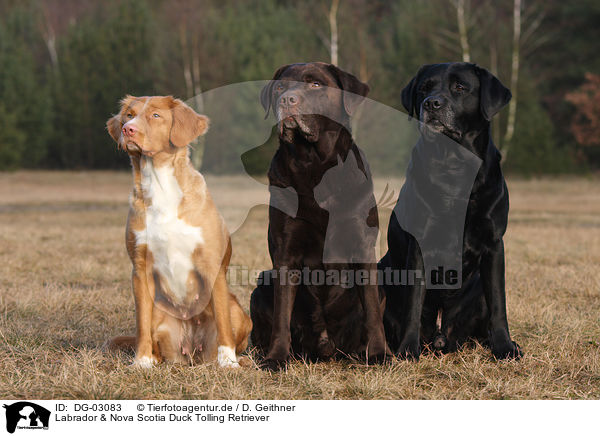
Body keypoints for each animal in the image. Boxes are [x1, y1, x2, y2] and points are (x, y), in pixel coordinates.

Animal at [105, 95, 251, 368]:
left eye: (155, 115)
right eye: (129, 114)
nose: (128, 129)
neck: (161, 186)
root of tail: (191, 348)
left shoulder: (211, 266)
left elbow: (224, 324)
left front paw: (228, 362)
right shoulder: (140, 268)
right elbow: (141, 325)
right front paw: (141, 362)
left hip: (238, 310)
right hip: (158, 311)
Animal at [250, 61, 386, 370]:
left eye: (315, 85)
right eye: (280, 86)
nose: (287, 100)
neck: (314, 165)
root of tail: (327, 346)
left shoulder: (363, 247)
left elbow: (373, 311)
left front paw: (379, 354)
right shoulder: (285, 251)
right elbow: (281, 315)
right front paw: (277, 358)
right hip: (262, 283)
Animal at [382, 62, 524, 362]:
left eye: (460, 87)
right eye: (424, 88)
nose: (431, 103)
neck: (453, 167)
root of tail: (440, 335)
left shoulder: (494, 245)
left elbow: (499, 303)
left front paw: (505, 347)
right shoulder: (419, 246)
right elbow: (413, 303)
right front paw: (408, 349)